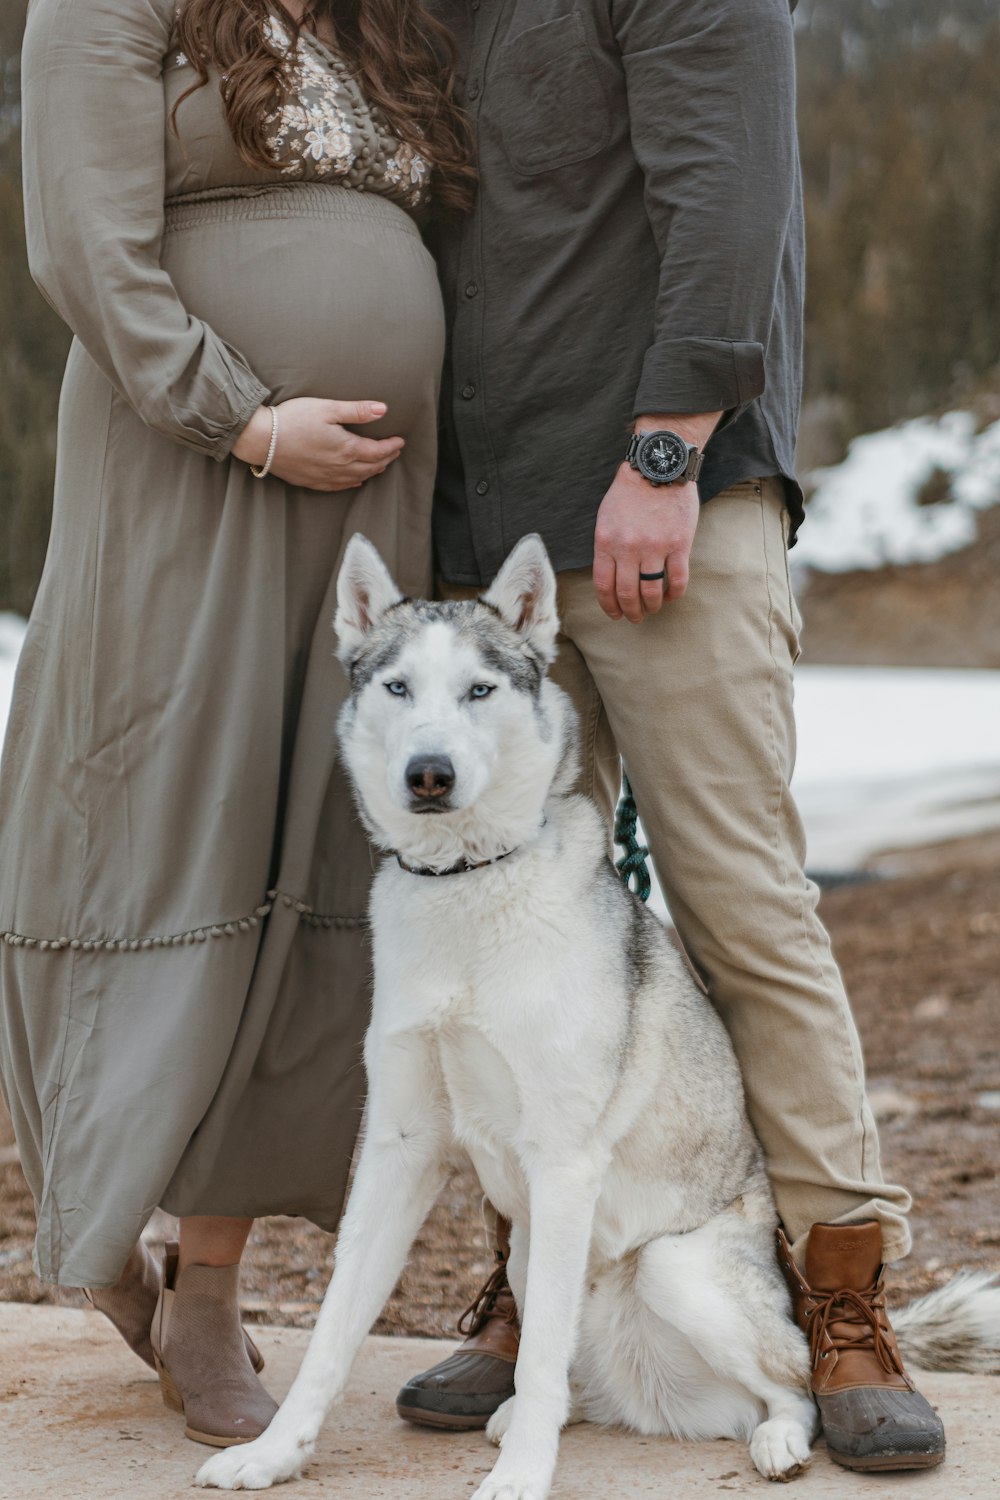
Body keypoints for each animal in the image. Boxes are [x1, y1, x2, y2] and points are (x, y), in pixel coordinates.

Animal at [197, 534, 1000, 1494]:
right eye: (396, 687)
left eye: (480, 689)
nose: (429, 774)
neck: (469, 889)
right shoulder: (399, 1150)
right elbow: (332, 1333)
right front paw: (273, 1452)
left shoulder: (563, 1159)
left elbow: (542, 1355)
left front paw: (522, 1480)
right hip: (527, 1251)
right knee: (575, 1370)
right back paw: (515, 1415)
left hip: (672, 1266)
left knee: (792, 1384)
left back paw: (779, 1440)